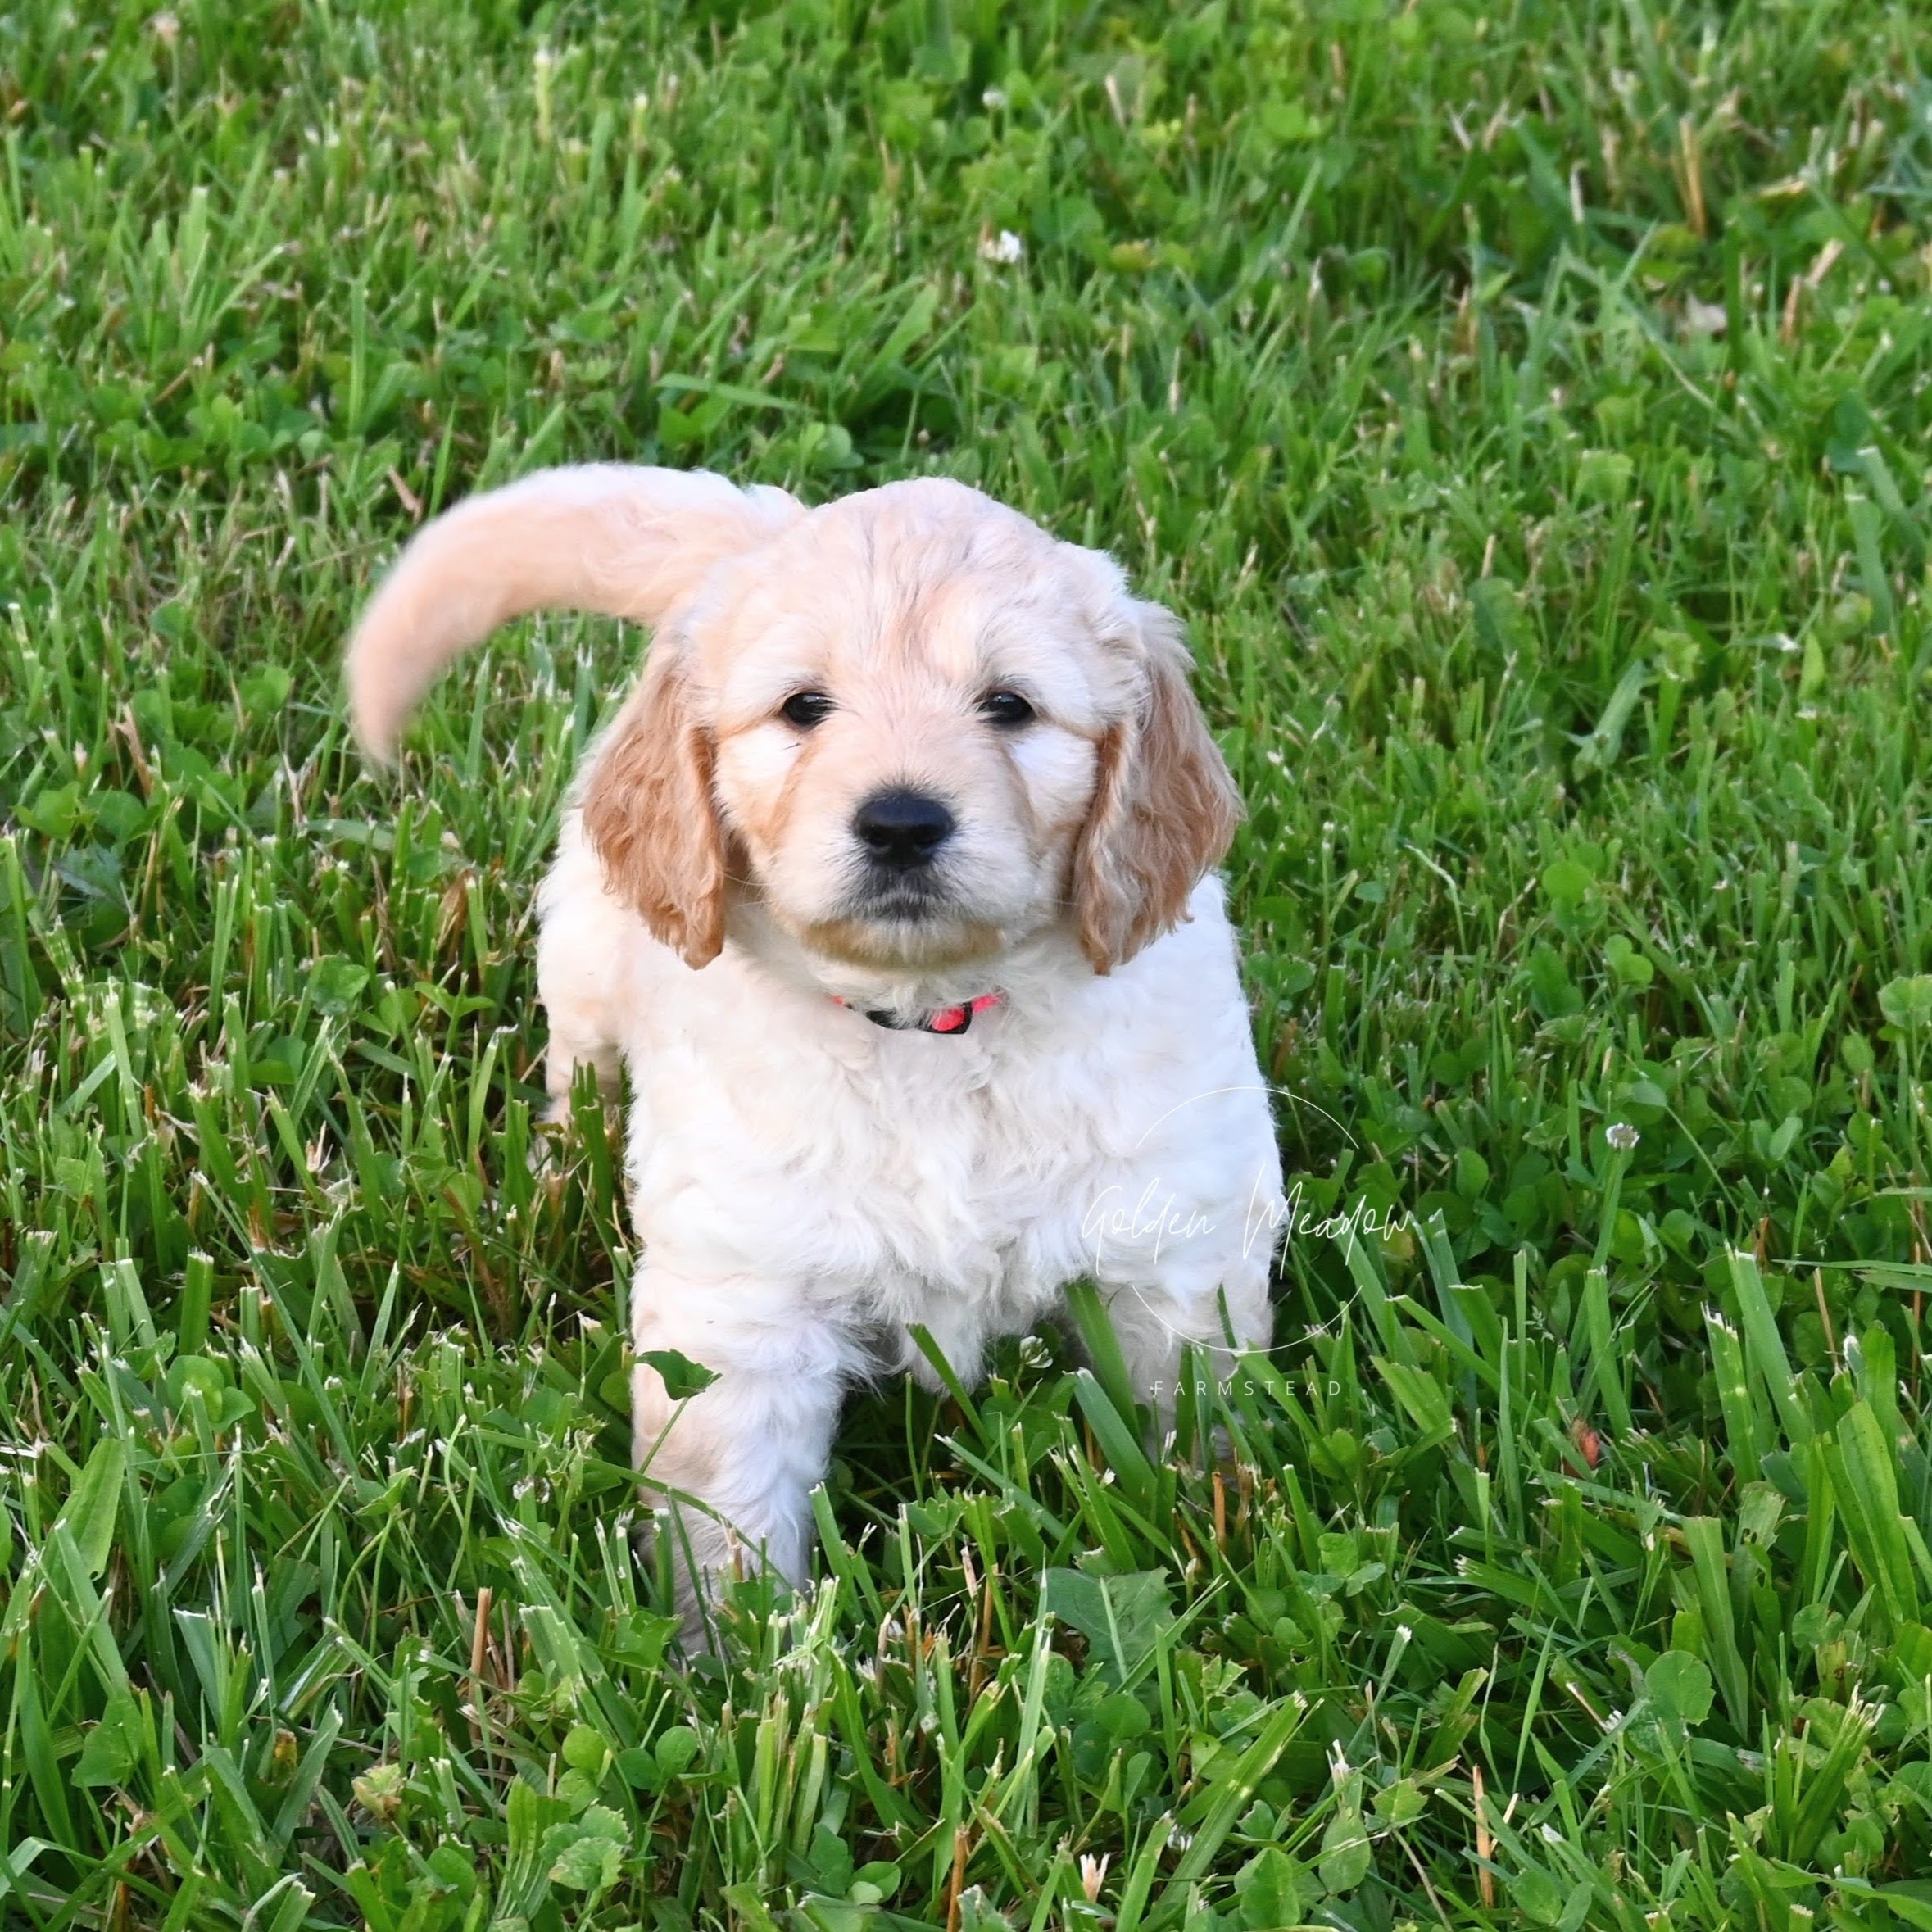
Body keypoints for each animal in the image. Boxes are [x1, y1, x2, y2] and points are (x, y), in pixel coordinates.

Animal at [347, 463, 1282, 1630]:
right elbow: (725, 1507)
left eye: (1010, 706)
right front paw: (731, 1652)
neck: (932, 1025)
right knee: (579, 1064)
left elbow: (1196, 1413)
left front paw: (1223, 1546)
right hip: (591, 949)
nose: (902, 822)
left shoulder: (1169, 1245)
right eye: (804, 708)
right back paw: (562, 1167)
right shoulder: (744, 1296)